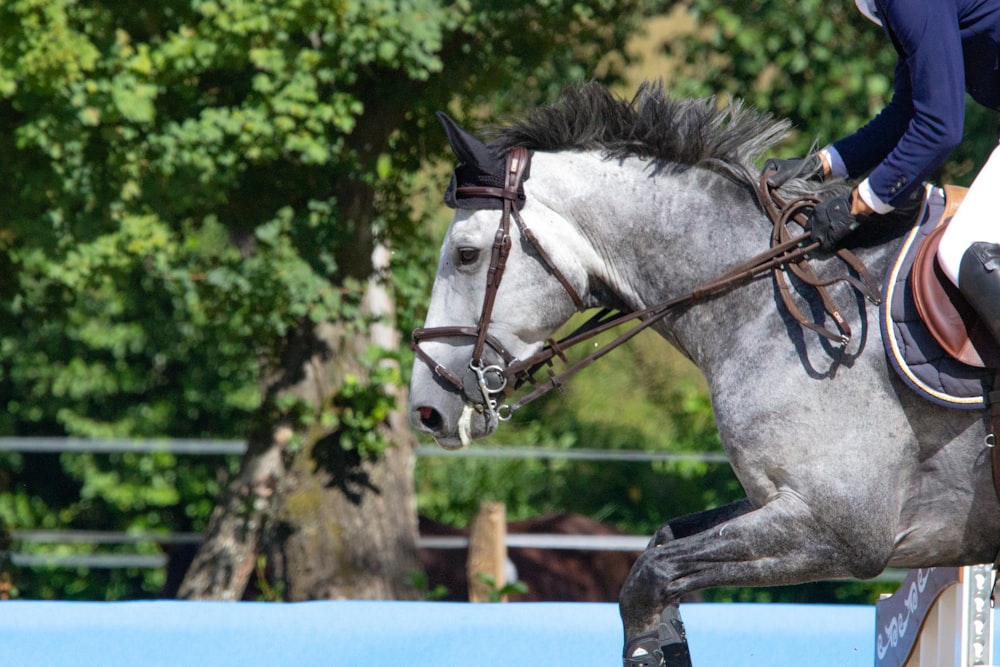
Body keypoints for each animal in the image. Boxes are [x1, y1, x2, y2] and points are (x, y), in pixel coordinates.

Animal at [406, 82, 1000, 664]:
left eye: (465, 254)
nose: (427, 409)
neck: (772, 304)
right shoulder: (779, 503)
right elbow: (662, 544)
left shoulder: (841, 529)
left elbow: (649, 578)